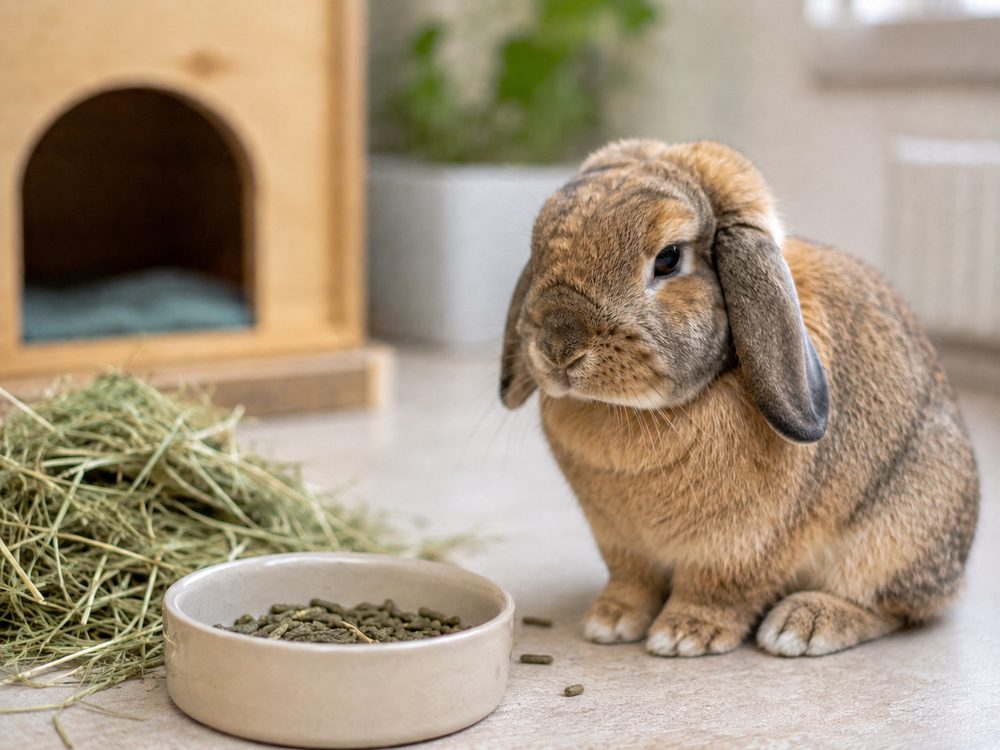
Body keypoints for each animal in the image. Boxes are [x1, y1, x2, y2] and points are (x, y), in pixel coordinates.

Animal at [498, 139, 979, 657]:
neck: (636, 412)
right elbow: (632, 582)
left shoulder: (746, 547)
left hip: (894, 539)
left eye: (668, 259)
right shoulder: (621, 545)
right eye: (537, 251)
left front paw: (684, 635)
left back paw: (804, 625)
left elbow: (719, 590)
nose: (558, 348)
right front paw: (609, 622)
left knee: (894, 608)